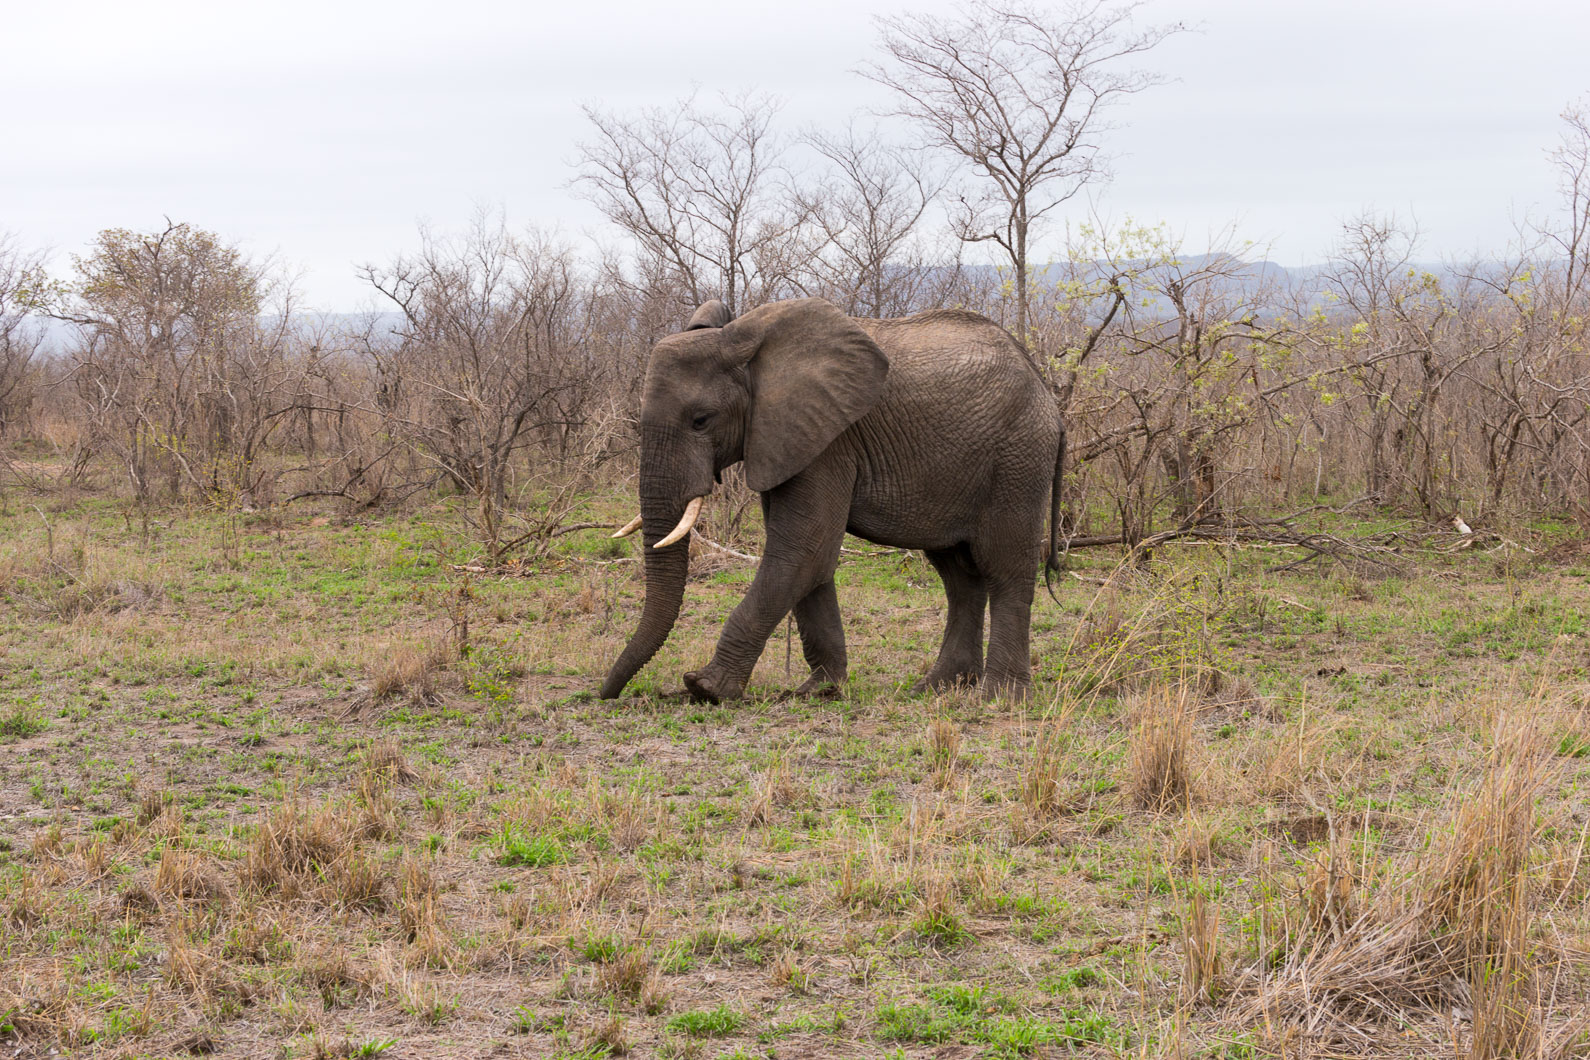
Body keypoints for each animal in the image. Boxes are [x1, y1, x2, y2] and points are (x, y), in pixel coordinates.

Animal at [599, 297, 1065, 703]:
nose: (606, 695)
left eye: (701, 421)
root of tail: (1044, 385)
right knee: (958, 576)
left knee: (1004, 568)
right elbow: (810, 559)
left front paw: (706, 689)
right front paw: (819, 691)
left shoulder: (829, 442)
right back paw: (937, 687)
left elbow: (803, 551)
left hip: (1018, 458)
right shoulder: (788, 439)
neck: (743, 341)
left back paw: (999, 697)